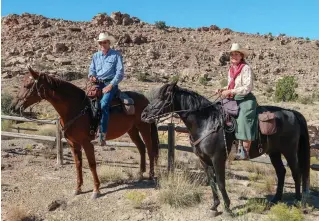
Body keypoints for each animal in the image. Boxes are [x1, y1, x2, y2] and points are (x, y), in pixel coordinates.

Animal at [10, 65, 160, 199]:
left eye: (27, 85)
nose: (13, 106)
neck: (75, 108)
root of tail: (146, 99)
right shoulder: (73, 143)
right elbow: (78, 164)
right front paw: (78, 188)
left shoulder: (87, 143)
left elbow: (92, 164)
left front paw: (96, 190)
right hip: (132, 130)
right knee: (141, 147)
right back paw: (140, 173)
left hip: (144, 127)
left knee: (150, 148)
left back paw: (151, 175)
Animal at [141, 82, 312, 213]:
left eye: (162, 98)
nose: (144, 115)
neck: (206, 122)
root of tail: (293, 113)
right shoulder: (204, 160)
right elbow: (212, 181)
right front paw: (215, 206)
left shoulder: (218, 158)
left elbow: (221, 182)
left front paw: (228, 208)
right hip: (274, 152)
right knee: (281, 172)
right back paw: (275, 199)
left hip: (289, 151)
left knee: (296, 173)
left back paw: (298, 201)